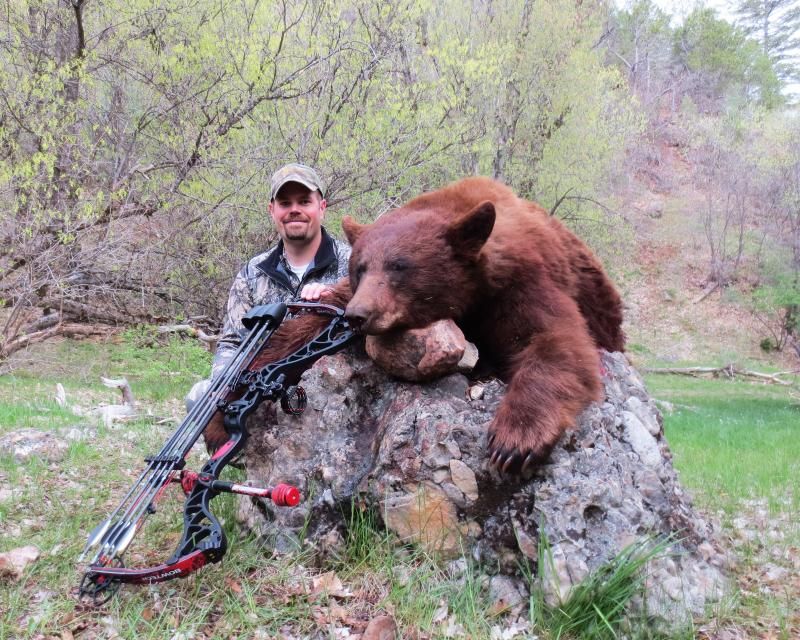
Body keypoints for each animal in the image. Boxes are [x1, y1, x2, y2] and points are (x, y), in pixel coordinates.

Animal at [204, 177, 624, 474]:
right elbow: (296, 332)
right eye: (361, 267)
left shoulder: (521, 282)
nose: (359, 314)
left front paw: (514, 440)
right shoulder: (343, 298)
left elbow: (556, 339)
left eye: (399, 267)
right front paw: (219, 417)